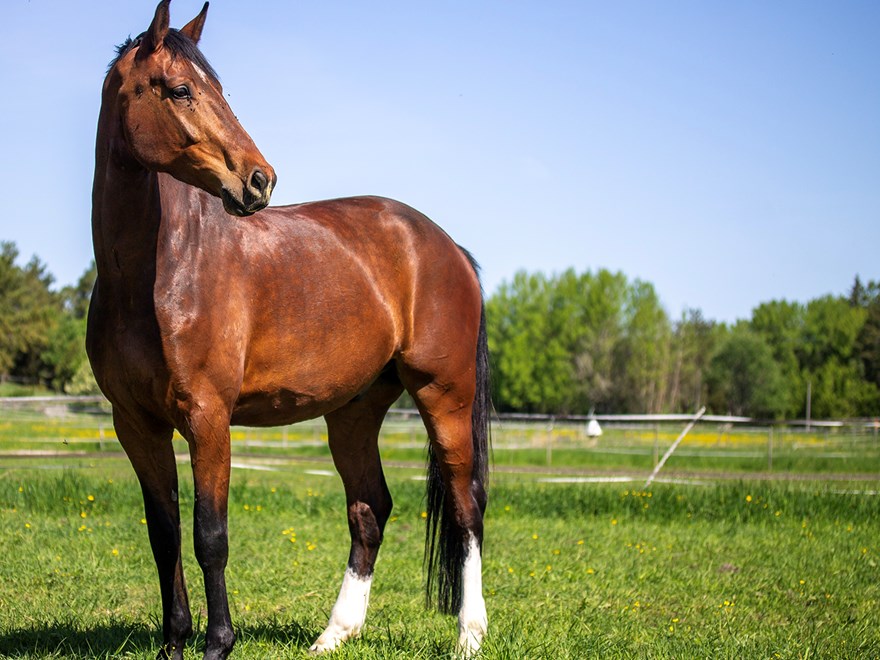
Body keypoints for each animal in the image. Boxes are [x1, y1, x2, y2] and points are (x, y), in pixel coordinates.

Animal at [85, 2, 492, 656]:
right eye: (181, 89)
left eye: (218, 89)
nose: (259, 180)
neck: (157, 273)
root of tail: (445, 246)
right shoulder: (136, 425)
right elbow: (164, 535)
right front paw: (175, 641)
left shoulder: (208, 417)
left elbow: (210, 535)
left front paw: (218, 641)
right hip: (353, 411)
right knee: (370, 509)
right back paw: (335, 634)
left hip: (444, 397)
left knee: (466, 507)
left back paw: (468, 634)